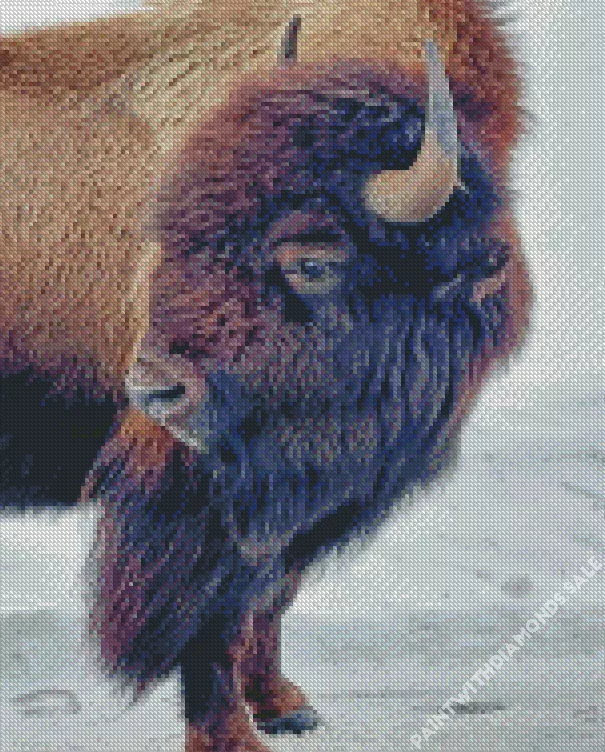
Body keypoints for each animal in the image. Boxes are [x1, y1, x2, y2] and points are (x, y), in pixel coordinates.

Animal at [0, 1, 530, 750]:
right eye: (171, 231)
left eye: (312, 260)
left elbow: (272, 597)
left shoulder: (304, 499)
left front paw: (283, 706)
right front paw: (231, 735)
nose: (154, 390)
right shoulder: (201, 496)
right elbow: (214, 621)